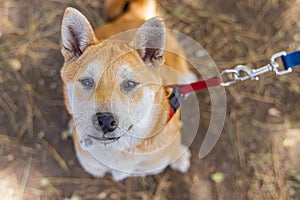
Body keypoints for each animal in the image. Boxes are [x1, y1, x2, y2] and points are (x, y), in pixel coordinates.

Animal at [60, 0, 197, 180]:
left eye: (130, 84)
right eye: (87, 81)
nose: (105, 121)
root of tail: (132, 14)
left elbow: (174, 150)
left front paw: (179, 157)